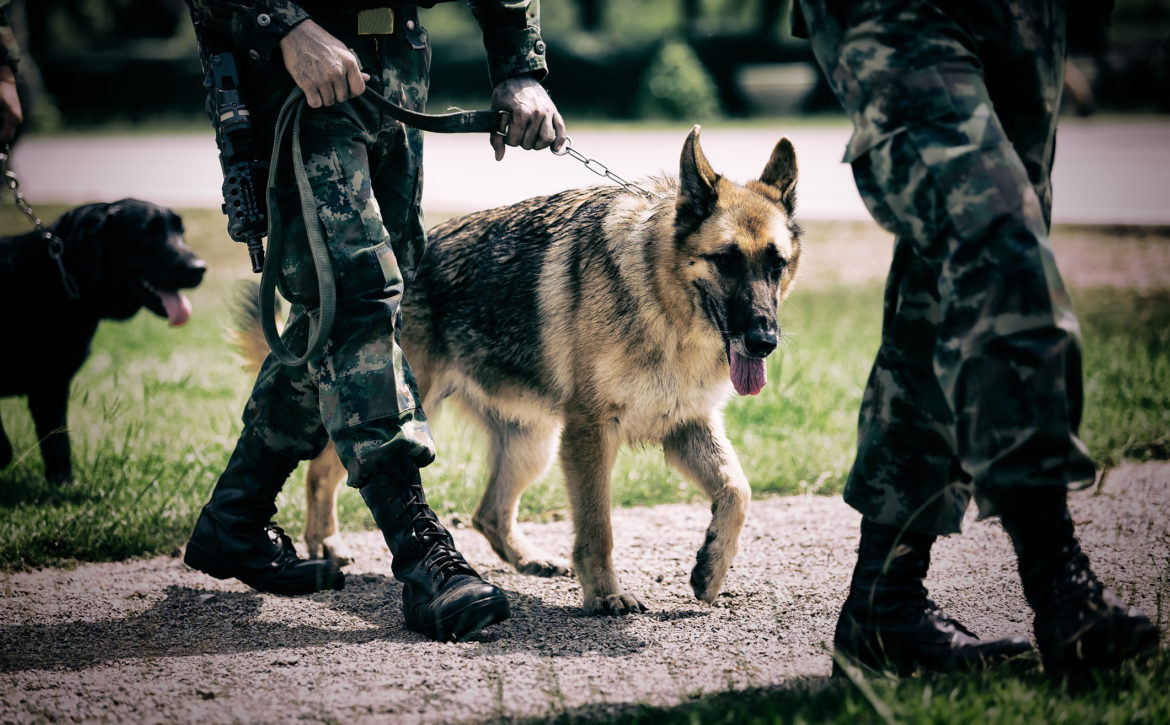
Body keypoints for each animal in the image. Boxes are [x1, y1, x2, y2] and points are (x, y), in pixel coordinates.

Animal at [0, 195, 208, 484]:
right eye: (147, 232)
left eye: (181, 232)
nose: (200, 269)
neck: (55, 278)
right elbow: (8, 449)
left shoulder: (52, 386)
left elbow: (58, 445)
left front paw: (63, 486)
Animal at [241, 127, 800, 612]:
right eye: (726, 260)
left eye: (776, 264)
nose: (765, 342)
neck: (662, 301)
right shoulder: (591, 435)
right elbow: (598, 528)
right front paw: (606, 596)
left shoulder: (684, 426)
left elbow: (737, 491)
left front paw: (711, 569)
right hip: (401, 413)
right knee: (324, 469)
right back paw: (326, 544)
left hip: (533, 443)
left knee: (488, 512)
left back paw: (527, 559)